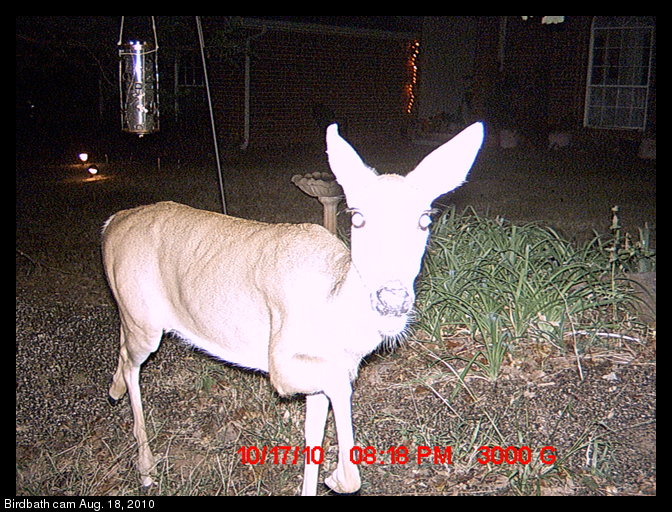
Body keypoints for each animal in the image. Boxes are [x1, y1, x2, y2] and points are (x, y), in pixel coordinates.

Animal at [102, 122, 484, 495]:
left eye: (425, 219)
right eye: (357, 217)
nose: (392, 298)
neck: (336, 312)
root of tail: (112, 223)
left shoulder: (323, 372)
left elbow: (313, 437)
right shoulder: (282, 361)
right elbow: (339, 392)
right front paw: (337, 477)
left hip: (134, 313)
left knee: (122, 345)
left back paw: (114, 390)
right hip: (144, 318)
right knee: (131, 362)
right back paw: (145, 467)